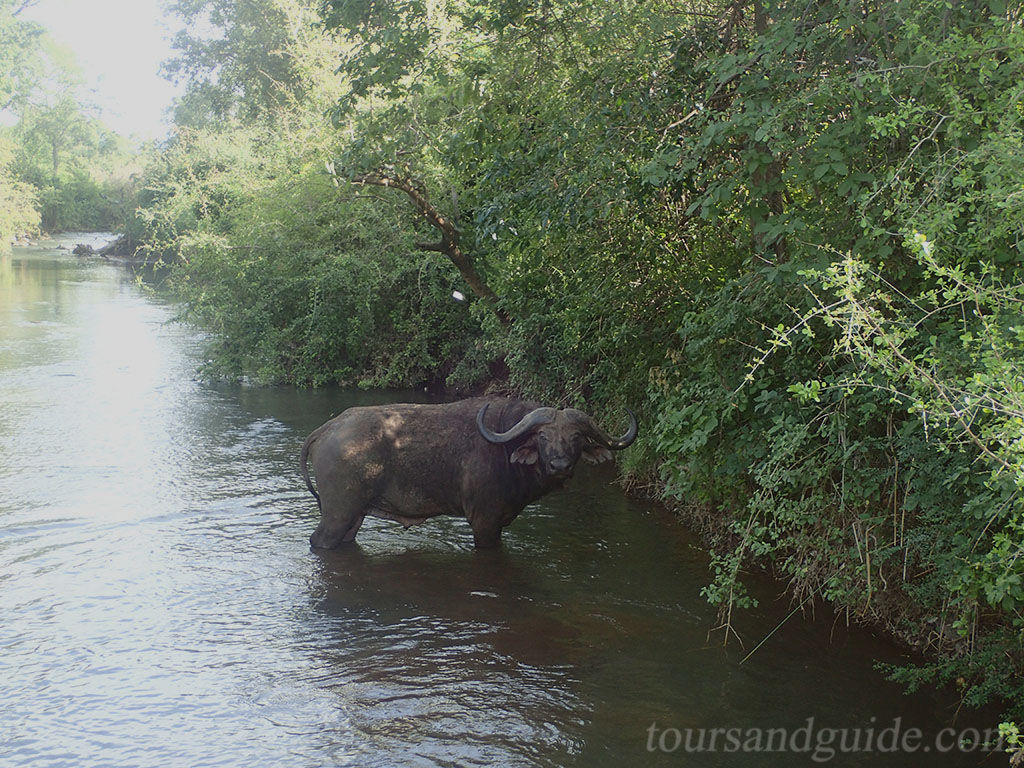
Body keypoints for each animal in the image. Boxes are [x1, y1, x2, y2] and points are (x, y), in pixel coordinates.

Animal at [301, 399, 638, 548]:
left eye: (577, 437)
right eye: (543, 436)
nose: (560, 466)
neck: (505, 448)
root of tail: (326, 429)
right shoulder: (485, 522)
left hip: (355, 517)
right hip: (339, 513)